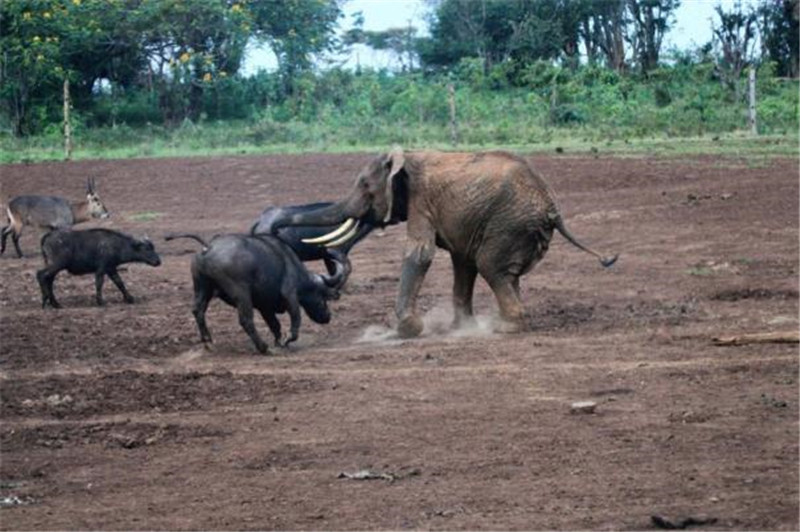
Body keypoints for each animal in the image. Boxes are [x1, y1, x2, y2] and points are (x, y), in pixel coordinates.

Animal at [270, 147, 620, 336]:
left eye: (366, 187)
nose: (274, 232)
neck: (406, 157)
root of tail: (552, 205)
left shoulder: (421, 199)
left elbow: (420, 254)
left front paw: (407, 331)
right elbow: (461, 262)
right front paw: (459, 328)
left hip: (510, 222)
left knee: (491, 266)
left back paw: (505, 328)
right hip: (514, 227)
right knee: (502, 271)